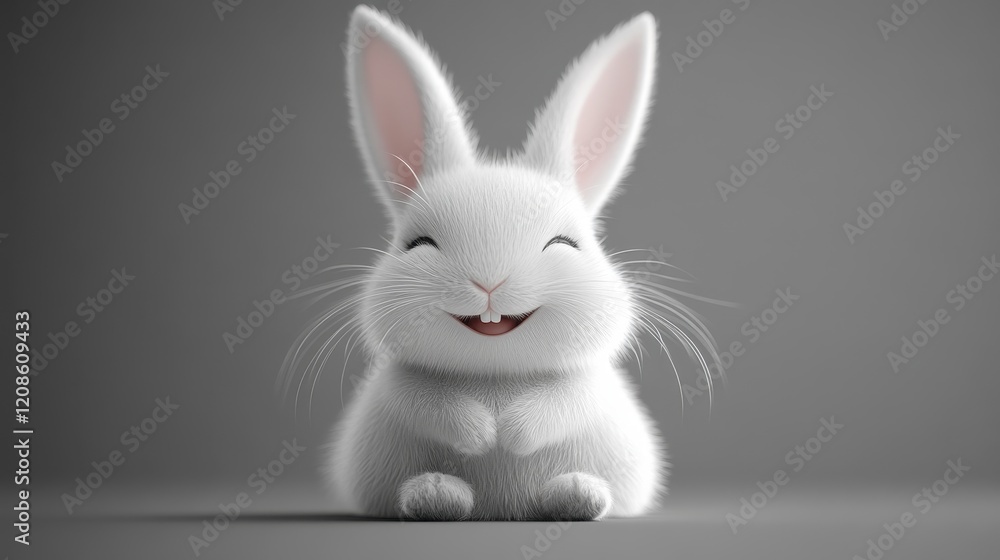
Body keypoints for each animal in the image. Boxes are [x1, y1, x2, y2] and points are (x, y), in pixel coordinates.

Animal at [296, 5, 721, 521]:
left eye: (565, 243)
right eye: (418, 244)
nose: (489, 283)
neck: (496, 375)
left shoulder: (588, 382)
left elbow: (570, 398)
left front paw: (512, 433)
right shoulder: (401, 380)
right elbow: (422, 399)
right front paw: (480, 433)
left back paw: (576, 494)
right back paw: (435, 494)